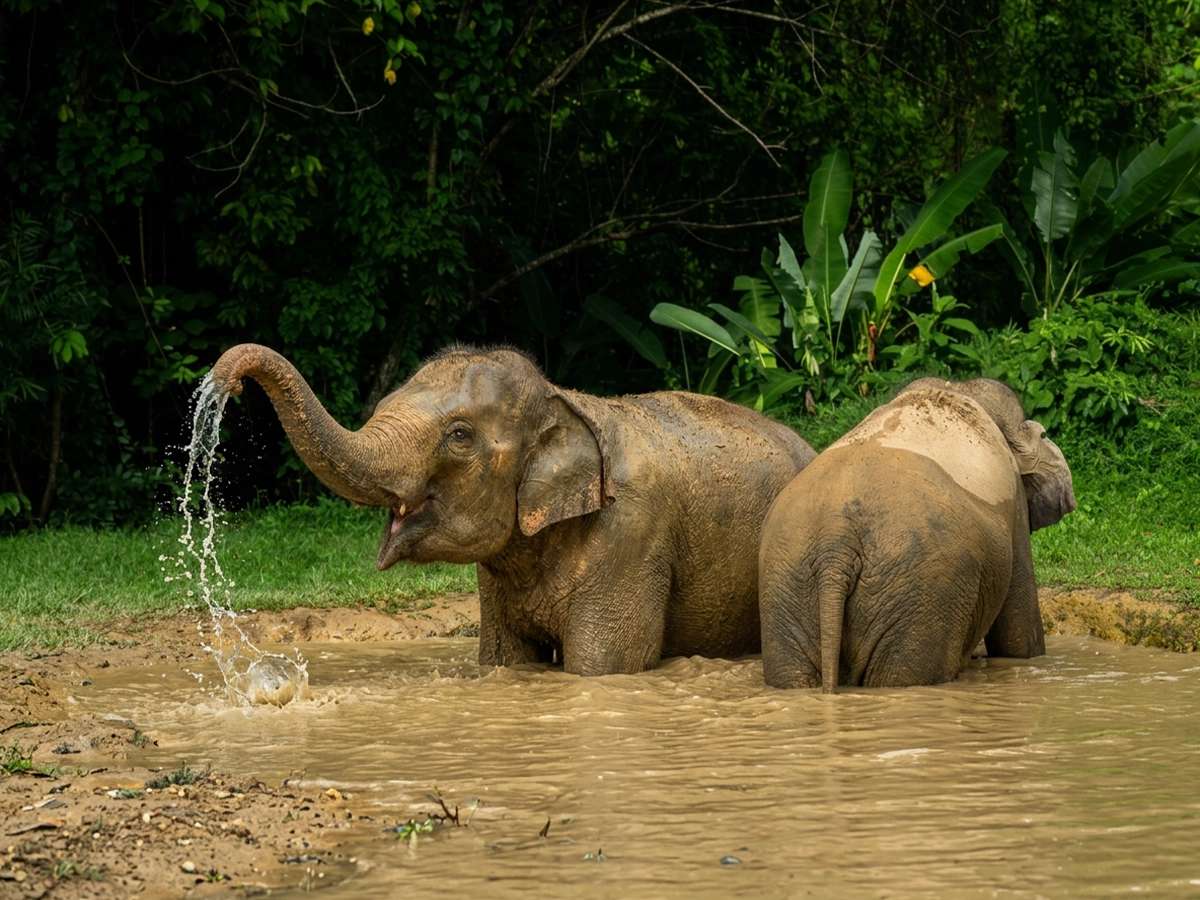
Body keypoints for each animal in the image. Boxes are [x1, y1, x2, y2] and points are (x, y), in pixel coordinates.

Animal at [209, 343, 816, 675]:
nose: (226, 384)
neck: (563, 398)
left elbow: (605, 664)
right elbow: (505, 661)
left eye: (458, 435)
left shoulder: (633, 534)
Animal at [757, 377, 1076, 692]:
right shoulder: (1015, 504)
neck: (956, 388)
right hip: (924, 592)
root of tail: (835, 545)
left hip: (788, 583)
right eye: (1044, 435)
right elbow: (1018, 631)